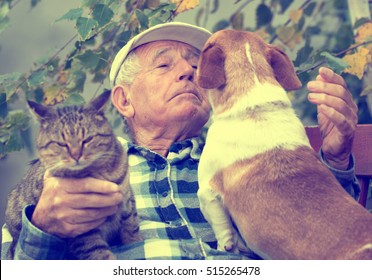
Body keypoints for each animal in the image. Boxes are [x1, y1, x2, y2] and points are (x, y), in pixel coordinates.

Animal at [5, 92, 143, 260]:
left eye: (87, 139)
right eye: (61, 144)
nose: (76, 155)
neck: (101, 174)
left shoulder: (127, 201)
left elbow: (131, 227)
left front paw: (135, 240)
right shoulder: (81, 230)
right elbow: (98, 252)